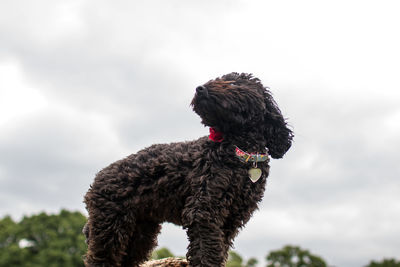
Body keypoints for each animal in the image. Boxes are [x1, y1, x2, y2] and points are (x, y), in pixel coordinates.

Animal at [83, 72, 292, 266]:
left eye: (233, 83)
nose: (200, 88)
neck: (239, 153)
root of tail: (97, 179)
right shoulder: (204, 212)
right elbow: (207, 252)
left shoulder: (230, 220)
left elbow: (218, 250)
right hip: (110, 227)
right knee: (100, 260)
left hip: (139, 231)